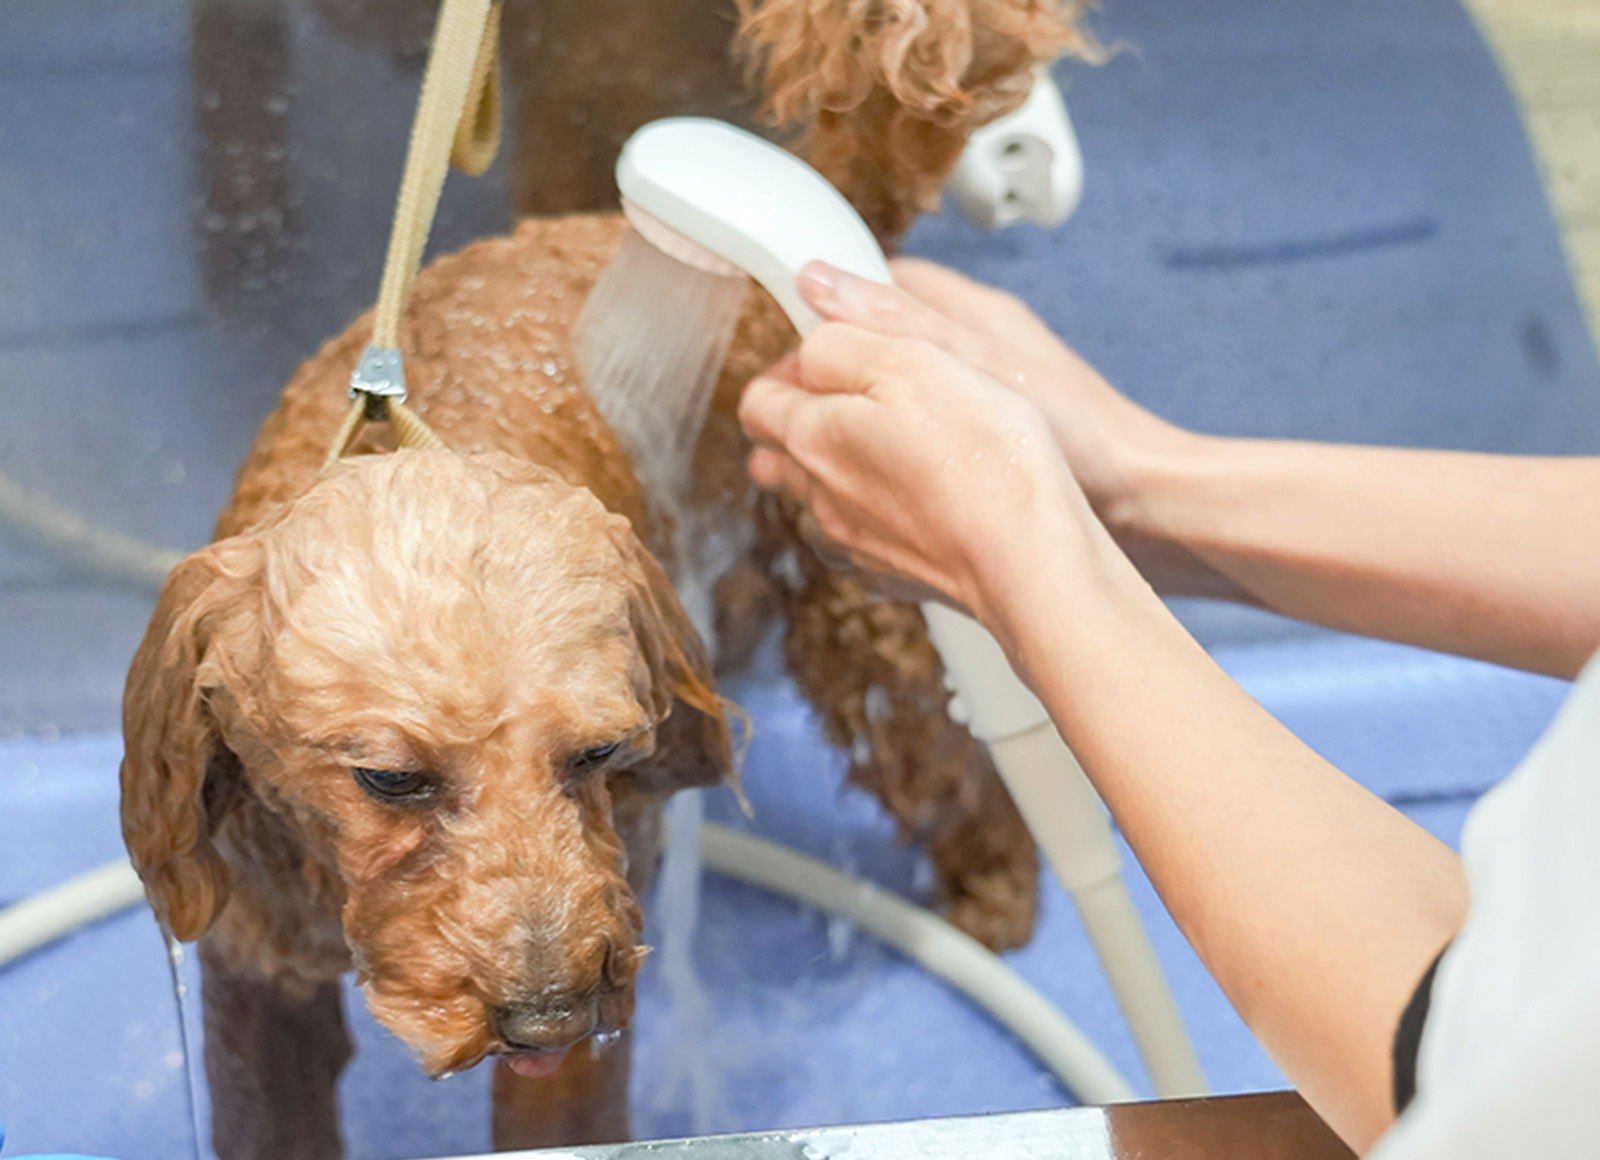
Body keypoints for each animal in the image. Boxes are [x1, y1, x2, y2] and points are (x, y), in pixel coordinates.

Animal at [124, 0, 1094, 1152]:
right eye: (390, 780)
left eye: (598, 753)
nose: (550, 1010)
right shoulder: (257, 986)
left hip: (858, 612)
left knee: (959, 759)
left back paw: (996, 899)